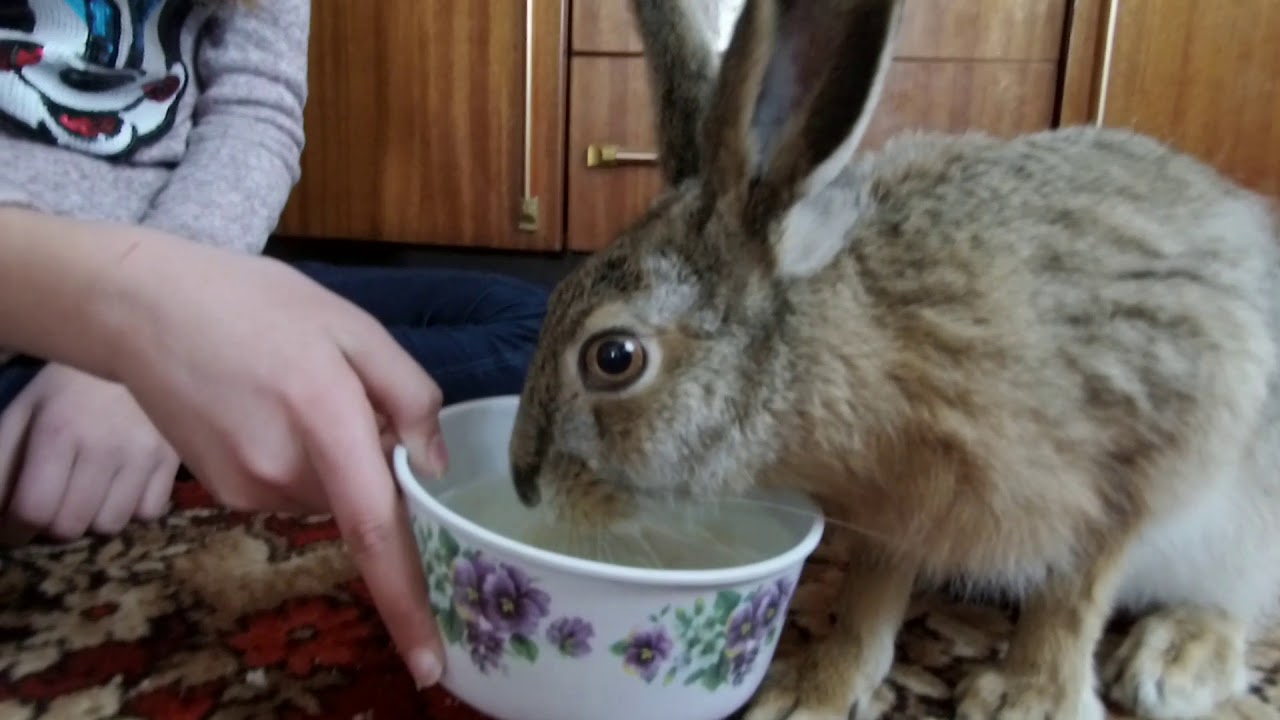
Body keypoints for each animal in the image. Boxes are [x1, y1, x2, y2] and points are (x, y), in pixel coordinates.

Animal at [507, 0, 1280, 718]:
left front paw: (1030, 699)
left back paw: (1174, 661)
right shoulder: (896, 513)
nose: (524, 484)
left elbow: (1073, 596)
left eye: (614, 357)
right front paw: (813, 690)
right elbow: (867, 599)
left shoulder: (1145, 448)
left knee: (1235, 600)